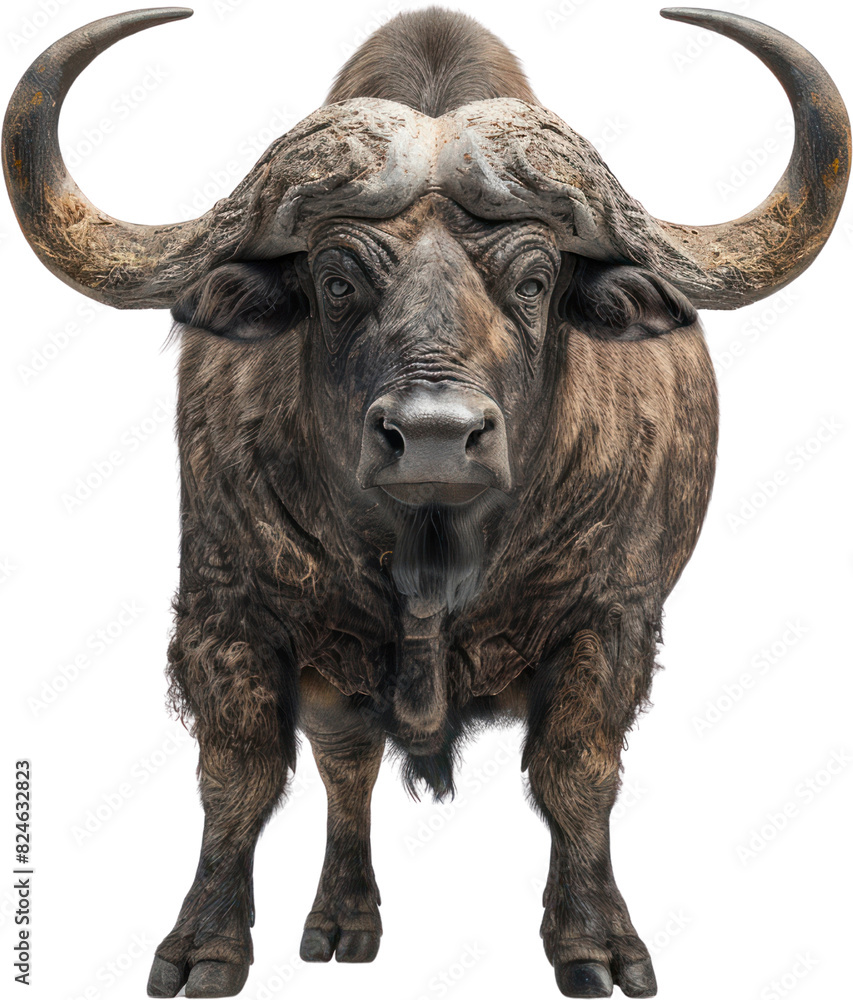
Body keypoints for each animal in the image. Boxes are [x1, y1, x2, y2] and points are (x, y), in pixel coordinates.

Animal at [3, 5, 849, 999]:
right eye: (335, 279)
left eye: (534, 279)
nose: (436, 433)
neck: (431, 555)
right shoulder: (225, 611)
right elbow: (237, 776)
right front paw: (204, 946)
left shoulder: (610, 619)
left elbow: (577, 774)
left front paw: (595, 944)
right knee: (346, 762)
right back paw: (342, 920)